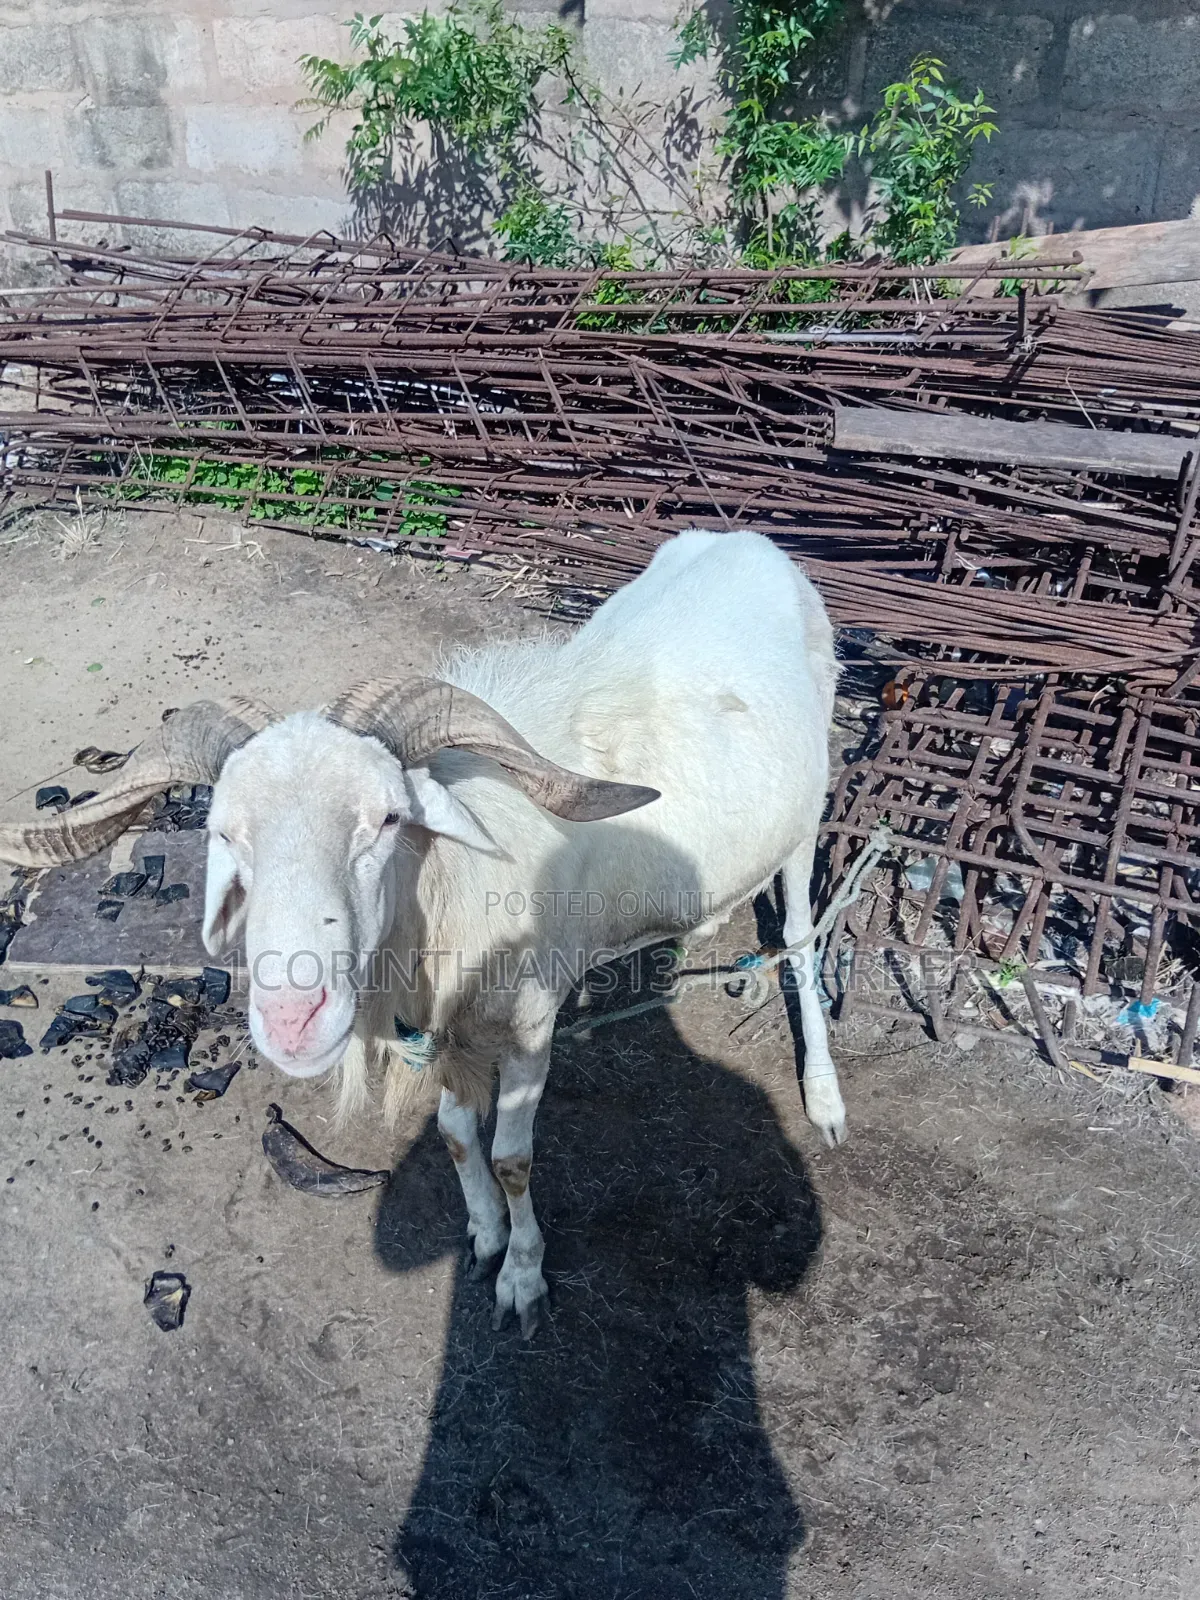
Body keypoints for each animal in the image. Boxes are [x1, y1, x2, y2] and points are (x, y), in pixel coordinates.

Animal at [0, 528, 845, 1337]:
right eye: (224, 832)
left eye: (388, 817)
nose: (293, 1019)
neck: (451, 885)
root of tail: (753, 544)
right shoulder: (440, 1025)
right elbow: (455, 1135)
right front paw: (483, 1236)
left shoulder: (530, 1023)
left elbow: (512, 1158)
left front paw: (522, 1282)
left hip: (807, 815)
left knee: (803, 936)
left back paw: (825, 1098)